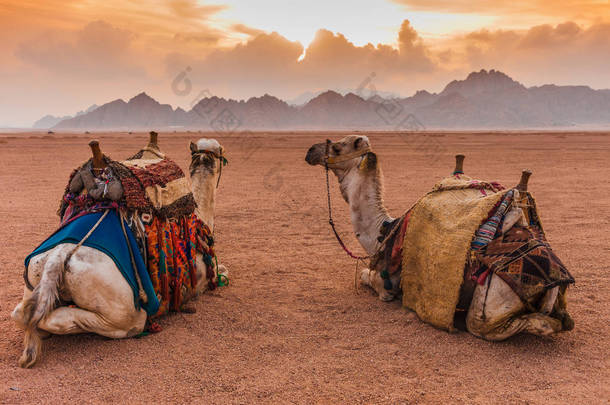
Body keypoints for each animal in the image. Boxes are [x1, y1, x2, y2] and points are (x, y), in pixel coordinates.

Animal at [12, 133, 228, 366]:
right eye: (221, 151)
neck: (200, 216)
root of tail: (58, 256)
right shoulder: (200, 280)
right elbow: (222, 271)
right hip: (121, 307)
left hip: (34, 276)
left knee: (22, 313)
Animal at [306, 136, 572, 340]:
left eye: (338, 147)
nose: (311, 151)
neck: (383, 231)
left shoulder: (385, 284)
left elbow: (365, 276)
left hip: (488, 306)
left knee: (512, 324)